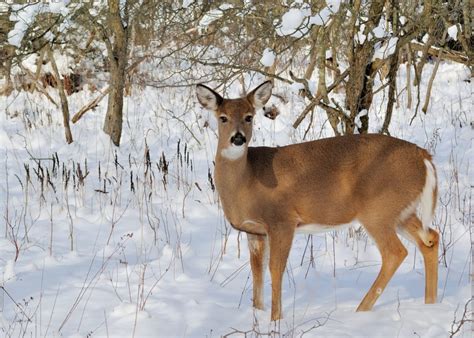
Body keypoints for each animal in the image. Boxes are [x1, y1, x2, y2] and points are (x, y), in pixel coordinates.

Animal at [194, 80, 438, 320]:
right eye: (223, 117)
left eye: (249, 116)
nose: (238, 138)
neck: (247, 181)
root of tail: (424, 156)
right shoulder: (254, 231)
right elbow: (257, 272)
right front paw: (257, 315)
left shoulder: (282, 221)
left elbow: (275, 269)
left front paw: (275, 320)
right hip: (401, 210)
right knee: (430, 239)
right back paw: (430, 304)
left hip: (378, 209)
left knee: (396, 252)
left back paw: (361, 311)